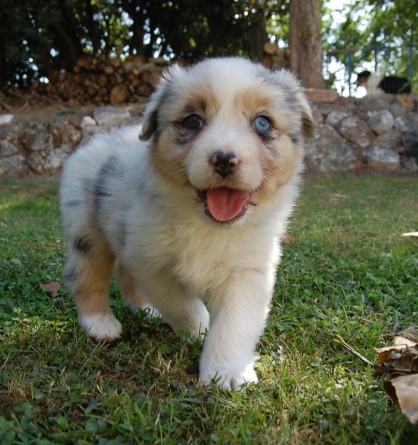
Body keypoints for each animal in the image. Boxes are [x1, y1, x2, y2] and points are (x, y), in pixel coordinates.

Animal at [59, 56, 316, 388]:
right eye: (193, 120)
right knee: (86, 276)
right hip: (87, 231)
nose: (224, 159)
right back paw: (100, 323)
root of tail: (100, 139)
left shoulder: (247, 270)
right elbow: (182, 304)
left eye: (263, 123)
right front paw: (200, 328)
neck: (208, 224)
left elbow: (235, 322)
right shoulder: (153, 263)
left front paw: (226, 373)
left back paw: (145, 308)